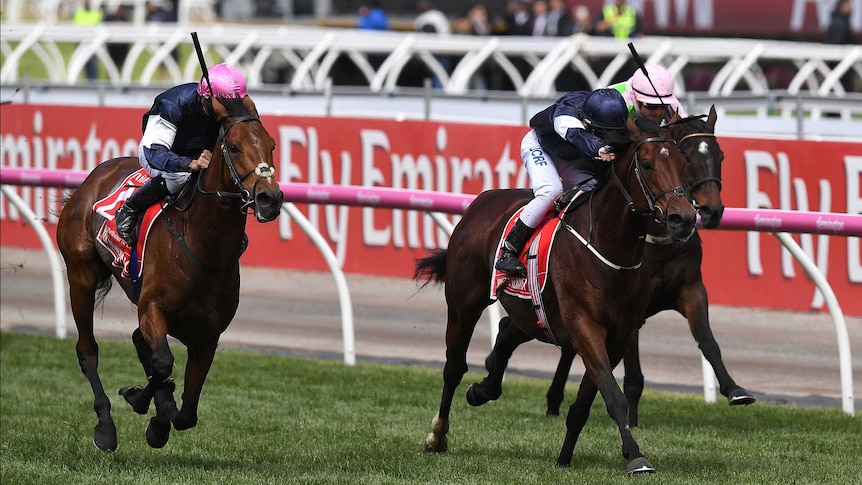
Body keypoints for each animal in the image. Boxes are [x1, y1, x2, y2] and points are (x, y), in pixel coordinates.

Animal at [56, 95, 284, 454]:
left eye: (272, 145)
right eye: (233, 147)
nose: (270, 198)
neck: (202, 249)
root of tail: (94, 177)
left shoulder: (208, 336)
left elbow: (187, 412)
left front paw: (159, 419)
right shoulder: (152, 308)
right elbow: (163, 363)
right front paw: (141, 402)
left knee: (138, 342)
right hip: (81, 275)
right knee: (87, 351)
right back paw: (105, 427)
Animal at [416, 116, 700, 472]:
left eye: (683, 162)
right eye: (647, 164)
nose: (683, 218)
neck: (610, 246)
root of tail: (480, 203)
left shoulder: (618, 336)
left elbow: (585, 403)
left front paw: (565, 458)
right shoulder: (585, 326)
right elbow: (613, 396)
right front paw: (636, 456)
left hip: (534, 315)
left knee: (506, 332)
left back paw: (482, 391)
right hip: (463, 305)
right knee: (454, 368)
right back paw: (437, 436)